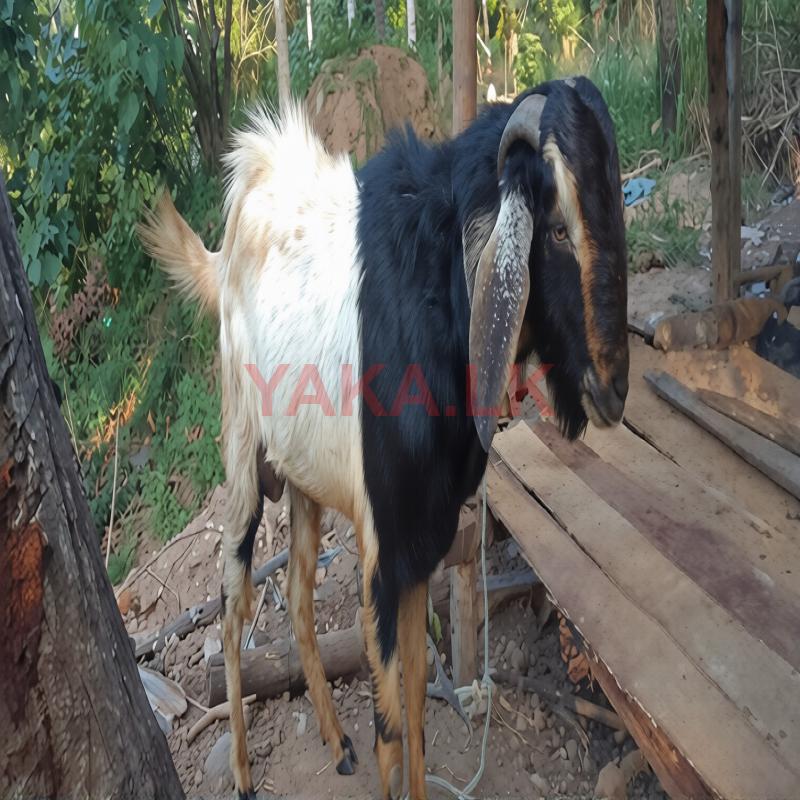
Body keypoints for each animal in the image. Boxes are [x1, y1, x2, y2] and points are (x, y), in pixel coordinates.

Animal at [138, 76, 629, 800]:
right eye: (559, 228)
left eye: (616, 207)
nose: (613, 388)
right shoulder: (382, 546)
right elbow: (393, 727)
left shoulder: (424, 539)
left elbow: (420, 700)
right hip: (241, 451)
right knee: (232, 602)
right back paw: (245, 773)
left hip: (304, 480)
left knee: (297, 596)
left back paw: (335, 739)